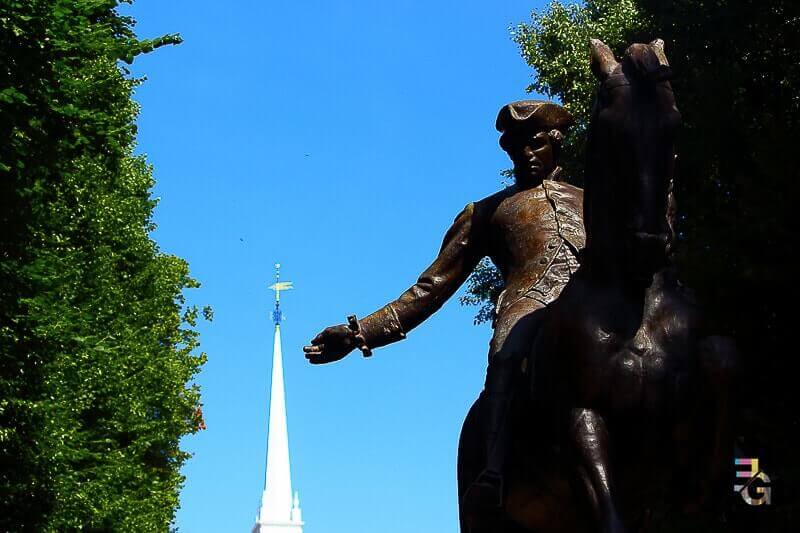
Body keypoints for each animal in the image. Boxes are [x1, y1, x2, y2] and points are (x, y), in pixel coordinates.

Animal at [456, 38, 736, 532]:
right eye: (611, 123)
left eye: (674, 122)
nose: (648, 242)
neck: (635, 300)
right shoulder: (581, 420)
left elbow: (722, 357)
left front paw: (708, 485)